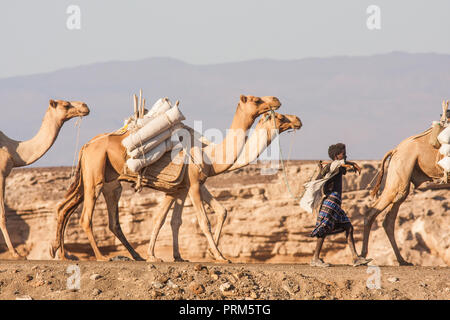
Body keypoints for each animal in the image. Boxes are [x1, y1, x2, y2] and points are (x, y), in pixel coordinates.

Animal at [0, 99, 89, 258]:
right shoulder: (1, 173)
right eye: (66, 105)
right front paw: (17, 254)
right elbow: (3, 216)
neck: (14, 151)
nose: (85, 106)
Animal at [50, 94, 282, 262]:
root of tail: (86, 146)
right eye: (256, 100)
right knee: (84, 217)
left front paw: (169, 256)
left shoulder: (177, 189)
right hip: (95, 176)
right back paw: (100, 256)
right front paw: (220, 256)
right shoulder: (193, 184)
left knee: (71, 209)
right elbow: (202, 221)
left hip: (103, 182)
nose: (276, 100)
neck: (210, 155)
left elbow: (169, 221)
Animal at [362, 100, 450, 264]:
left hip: (403, 181)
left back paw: (402, 260)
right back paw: (362, 256)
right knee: (373, 212)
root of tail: (395, 150)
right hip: (399, 174)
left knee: (388, 220)